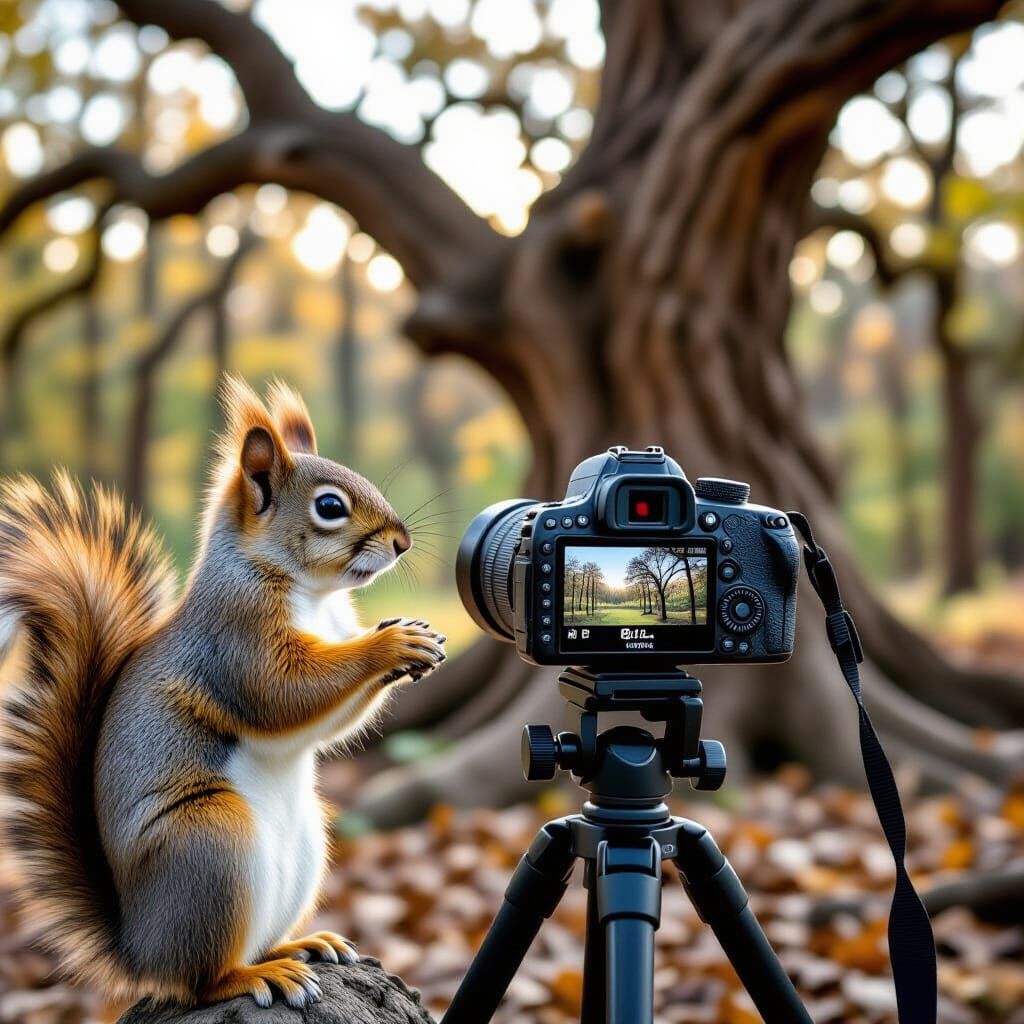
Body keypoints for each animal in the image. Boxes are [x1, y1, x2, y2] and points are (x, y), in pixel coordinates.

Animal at [0, 377, 446, 1009]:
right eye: (330, 506)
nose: (403, 542)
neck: (312, 593)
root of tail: (140, 949)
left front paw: (412, 643)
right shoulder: (236, 635)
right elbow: (283, 691)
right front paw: (391, 645)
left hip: (304, 844)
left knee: (253, 944)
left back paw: (301, 946)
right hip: (210, 842)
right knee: (201, 979)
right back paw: (257, 975)